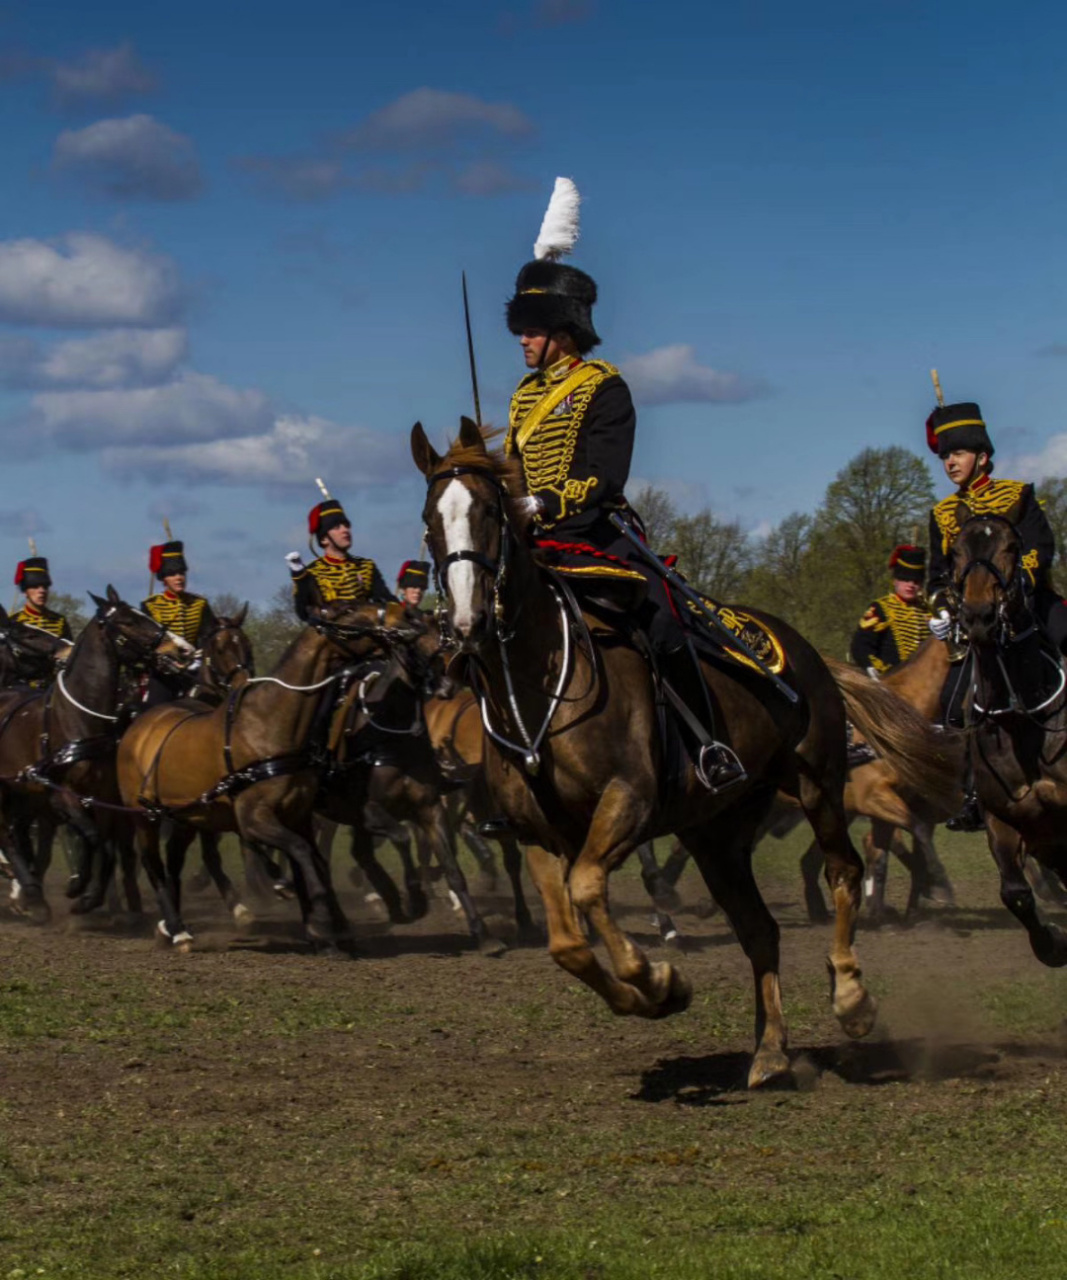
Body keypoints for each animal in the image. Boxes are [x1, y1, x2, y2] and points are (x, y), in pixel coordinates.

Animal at [406, 422, 890, 1090]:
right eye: (431, 519)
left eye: (488, 513)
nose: (466, 622)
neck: (539, 680)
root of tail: (801, 648)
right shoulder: (536, 835)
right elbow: (567, 943)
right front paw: (652, 993)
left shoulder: (627, 802)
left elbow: (588, 887)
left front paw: (659, 979)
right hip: (717, 834)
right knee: (758, 928)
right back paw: (770, 1051)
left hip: (818, 786)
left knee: (843, 871)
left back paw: (852, 1000)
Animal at [951, 514, 1067, 962]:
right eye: (956, 551)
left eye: (1012, 547)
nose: (979, 616)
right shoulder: (1003, 820)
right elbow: (1016, 893)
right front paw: (1054, 944)